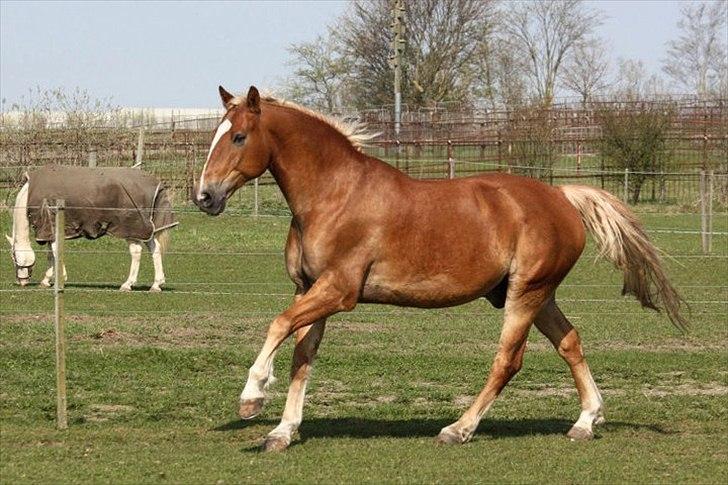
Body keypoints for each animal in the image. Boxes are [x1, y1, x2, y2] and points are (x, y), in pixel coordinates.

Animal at [7, 166, 178, 292]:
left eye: (13, 257)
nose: (21, 281)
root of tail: (157, 183)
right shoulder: (49, 231)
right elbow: (50, 254)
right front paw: (46, 280)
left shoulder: (50, 226)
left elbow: (55, 253)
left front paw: (60, 279)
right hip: (145, 229)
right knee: (155, 249)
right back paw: (156, 284)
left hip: (132, 229)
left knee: (136, 252)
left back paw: (127, 284)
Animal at [195, 85, 688, 452]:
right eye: (217, 134)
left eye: (238, 137)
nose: (204, 196)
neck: (334, 195)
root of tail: (561, 196)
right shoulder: (309, 290)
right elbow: (302, 357)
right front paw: (282, 432)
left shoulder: (338, 292)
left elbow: (277, 326)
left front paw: (251, 398)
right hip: (537, 294)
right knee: (570, 343)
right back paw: (586, 421)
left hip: (525, 295)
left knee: (508, 360)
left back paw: (458, 429)